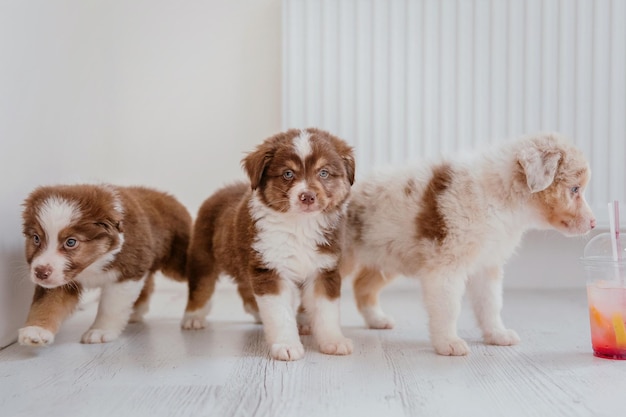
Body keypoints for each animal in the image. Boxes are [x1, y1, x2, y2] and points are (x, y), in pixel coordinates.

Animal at [18, 184, 190, 344]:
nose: (40, 273)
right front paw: (36, 330)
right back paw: (135, 311)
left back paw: (193, 318)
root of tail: (167, 196)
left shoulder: (127, 272)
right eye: (36, 238)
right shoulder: (61, 279)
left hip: (177, 260)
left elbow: (110, 307)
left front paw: (100, 331)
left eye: (71, 242)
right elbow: (47, 303)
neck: (93, 264)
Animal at [183, 128, 354, 360]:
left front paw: (334, 341)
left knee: (245, 286)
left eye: (324, 173)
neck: (300, 225)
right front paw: (287, 345)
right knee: (201, 286)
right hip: (203, 255)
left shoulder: (324, 269)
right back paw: (193, 318)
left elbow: (326, 311)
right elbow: (280, 313)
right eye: (288, 174)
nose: (307, 197)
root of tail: (222, 190)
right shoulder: (270, 269)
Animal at [342, 132, 596, 354]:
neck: (501, 199)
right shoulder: (445, 265)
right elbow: (449, 307)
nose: (594, 223)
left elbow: (491, 303)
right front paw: (448, 343)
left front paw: (497, 334)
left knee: (362, 285)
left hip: (385, 254)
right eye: (575, 189)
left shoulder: (487, 264)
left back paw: (377, 319)